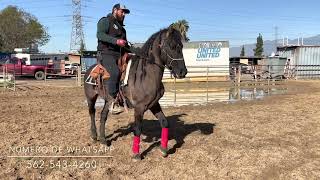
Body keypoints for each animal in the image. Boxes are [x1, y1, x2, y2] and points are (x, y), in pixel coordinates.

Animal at [84, 25, 188, 160]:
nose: (182, 72)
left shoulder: (154, 104)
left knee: (103, 116)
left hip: (109, 100)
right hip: (91, 97)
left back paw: (103, 140)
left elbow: (164, 122)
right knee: (92, 113)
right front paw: (136, 154)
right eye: (171, 46)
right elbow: (138, 129)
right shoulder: (139, 108)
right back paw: (94, 136)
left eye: (181, 46)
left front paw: (164, 150)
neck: (146, 75)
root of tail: (90, 69)